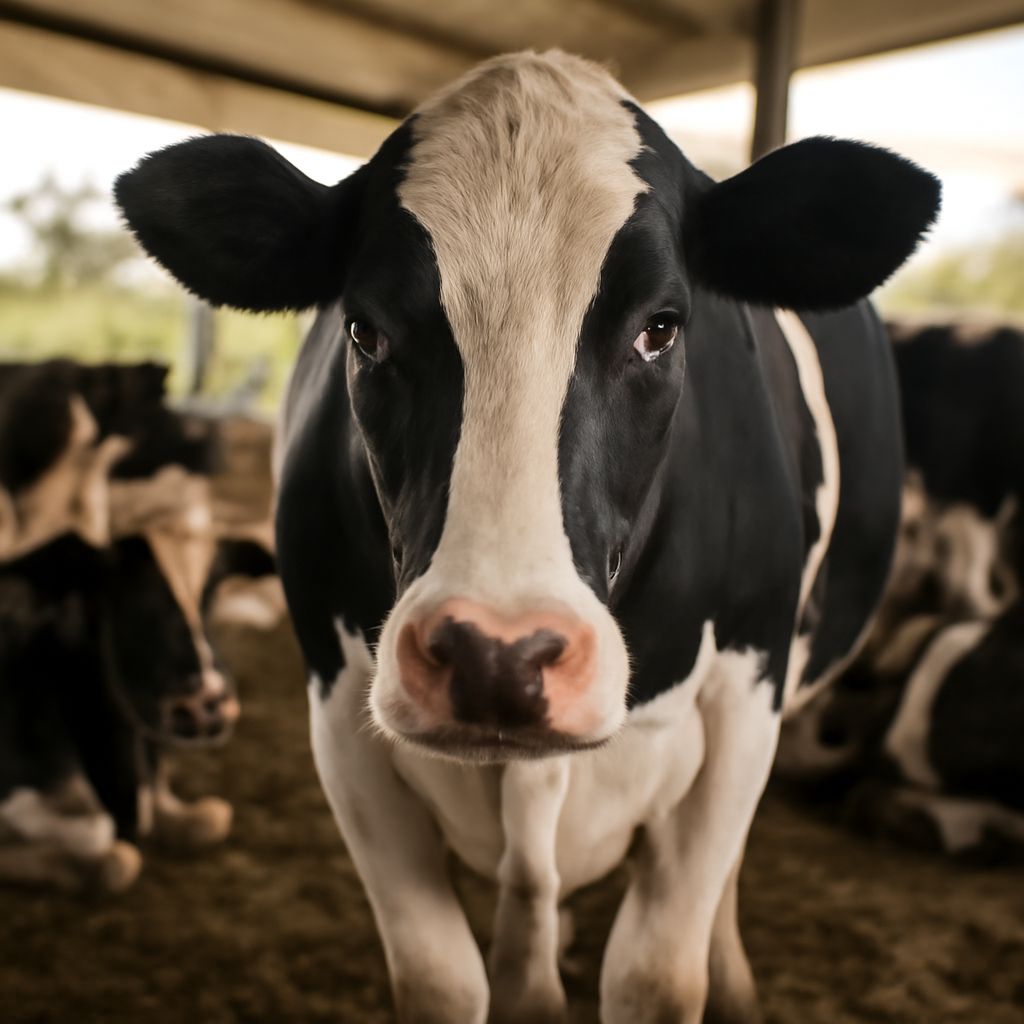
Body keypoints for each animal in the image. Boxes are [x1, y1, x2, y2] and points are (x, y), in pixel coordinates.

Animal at [115, 51, 940, 1024]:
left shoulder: (748, 692)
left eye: (662, 326)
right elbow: (440, 978)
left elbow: (660, 972)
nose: (495, 657)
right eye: (365, 329)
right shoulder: (339, 711)